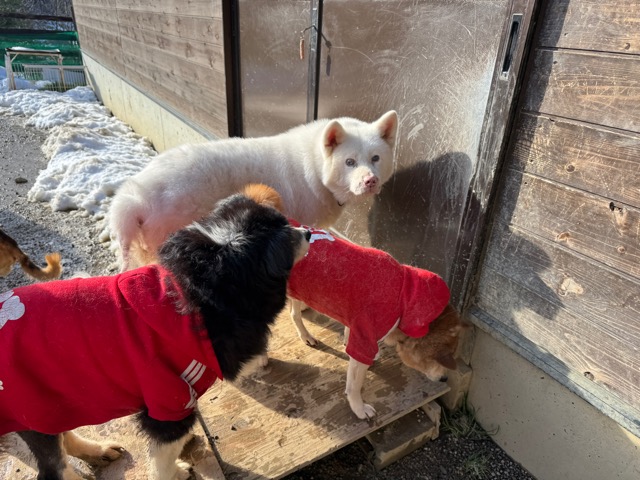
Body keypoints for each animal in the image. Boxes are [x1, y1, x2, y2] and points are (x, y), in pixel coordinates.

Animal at [0, 193, 310, 480]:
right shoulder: (167, 401)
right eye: (287, 237)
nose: (307, 232)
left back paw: (99, 451)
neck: (200, 292)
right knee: (55, 469)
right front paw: (176, 471)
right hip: (33, 409)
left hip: (52, 408)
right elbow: (163, 455)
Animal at [241, 184, 465, 420]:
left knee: (294, 314)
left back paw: (306, 336)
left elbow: (350, 339)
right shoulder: (364, 337)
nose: (445, 379)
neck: (404, 296)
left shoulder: (356, 326)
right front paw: (358, 408)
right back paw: (261, 357)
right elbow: (354, 385)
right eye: (440, 357)